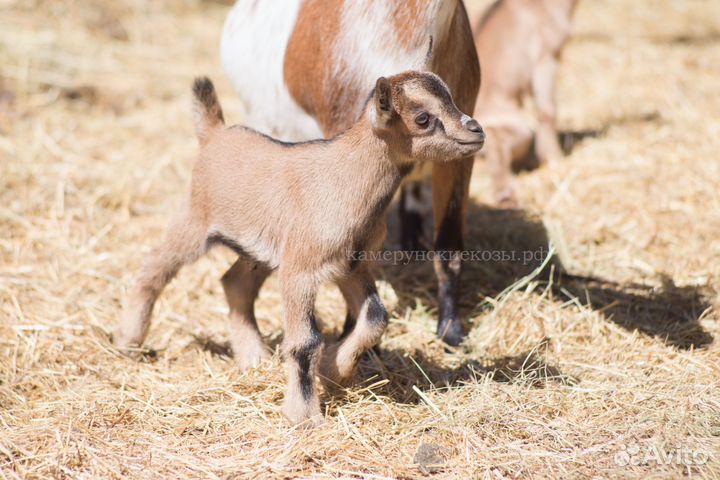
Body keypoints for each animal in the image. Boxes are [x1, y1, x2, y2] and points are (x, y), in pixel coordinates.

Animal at [116, 71, 484, 424]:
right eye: (422, 118)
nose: (476, 130)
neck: (346, 181)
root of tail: (214, 134)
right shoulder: (302, 270)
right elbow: (306, 342)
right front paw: (304, 416)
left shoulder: (352, 266)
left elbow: (376, 317)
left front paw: (334, 370)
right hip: (196, 221)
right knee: (154, 266)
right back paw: (129, 342)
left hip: (260, 251)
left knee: (235, 283)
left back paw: (254, 358)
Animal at [472, 0, 580, 204]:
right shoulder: (546, 59)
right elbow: (547, 110)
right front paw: (554, 160)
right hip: (518, 128)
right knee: (497, 150)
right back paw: (506, 194)